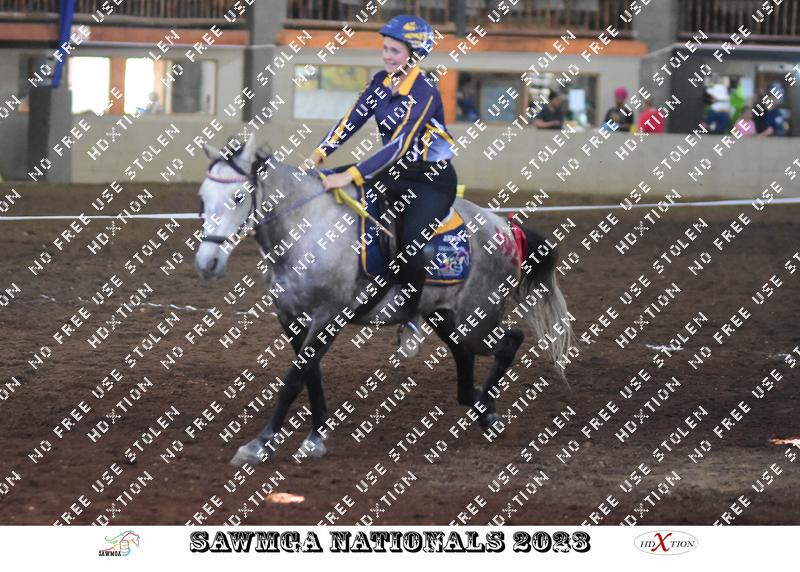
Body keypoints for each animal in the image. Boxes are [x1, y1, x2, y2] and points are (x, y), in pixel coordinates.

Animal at [195, 134, 573, 466]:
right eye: (202, 198)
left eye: (238, 197)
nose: (207, 263)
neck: (308, 229)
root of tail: (506, 227)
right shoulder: (290, 317)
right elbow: (311, 375)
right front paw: (316, 436)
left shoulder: (328, 316)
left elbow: (294, 379)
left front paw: (260, 443)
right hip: (446, 317)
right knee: (466, 358)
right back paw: (482, 408)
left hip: (476, 318)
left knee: (510, 341)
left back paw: (490, 415)